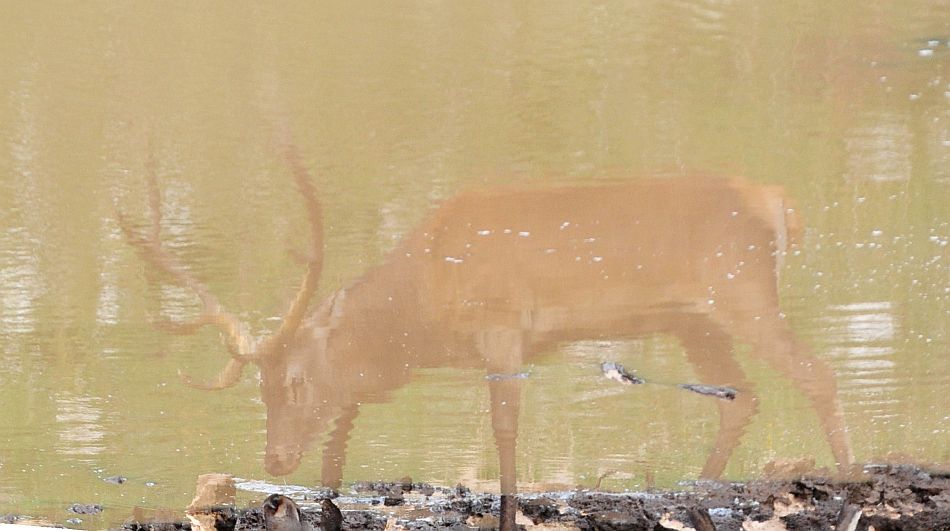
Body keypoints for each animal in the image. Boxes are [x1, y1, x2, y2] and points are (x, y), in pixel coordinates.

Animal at [119, 137, 856, 528]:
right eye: (261, 389)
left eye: (295, 381)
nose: (273, 459)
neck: (421, 308)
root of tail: (778, 204)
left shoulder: (502, 326)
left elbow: (504, 432)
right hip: (693, 318)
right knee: (742, 394)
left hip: (742, 288)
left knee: (816, 374)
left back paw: (851, 486)